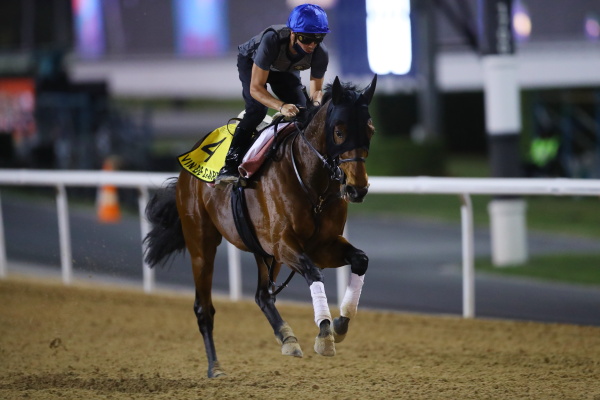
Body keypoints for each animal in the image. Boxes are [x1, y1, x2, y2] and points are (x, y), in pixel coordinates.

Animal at [145, 75, 378, 378]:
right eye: (339, 132)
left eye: (370, 130)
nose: (357, 188)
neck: (311, 182)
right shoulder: (283, 243)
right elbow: (313, 273)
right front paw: (325, 334)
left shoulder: (322, 245)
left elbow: (360, 260)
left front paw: (340, 324)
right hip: (201, 240)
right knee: (204, 307)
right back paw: (215, 366)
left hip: (263, 251)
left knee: (262, 295)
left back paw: (287, 338)